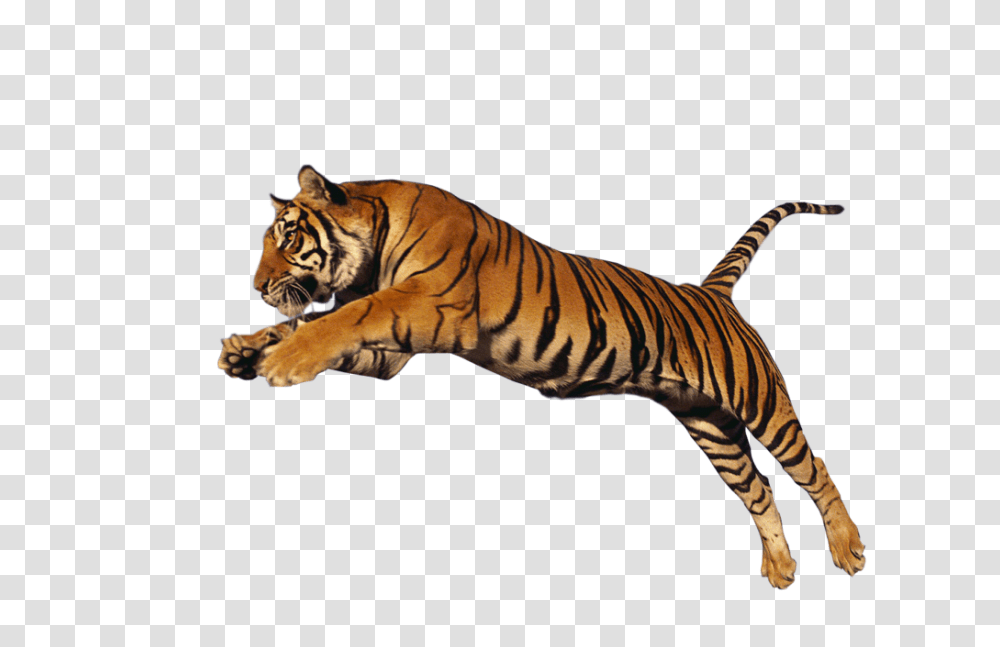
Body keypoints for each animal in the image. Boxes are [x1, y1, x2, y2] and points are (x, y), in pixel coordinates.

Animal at [219, 165, 865, 588]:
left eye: (289, 238)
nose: (257, 286)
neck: (374, 249)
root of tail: (711, 292)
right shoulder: (391, 354)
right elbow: (310, 324)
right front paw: (245, 351)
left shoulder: (424, 304)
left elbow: (340, 319)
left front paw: (281, 362)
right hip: (709, 424)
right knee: (758, 487)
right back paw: (781, 569)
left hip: (759, 401)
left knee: (813, 468)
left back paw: (849, 549)